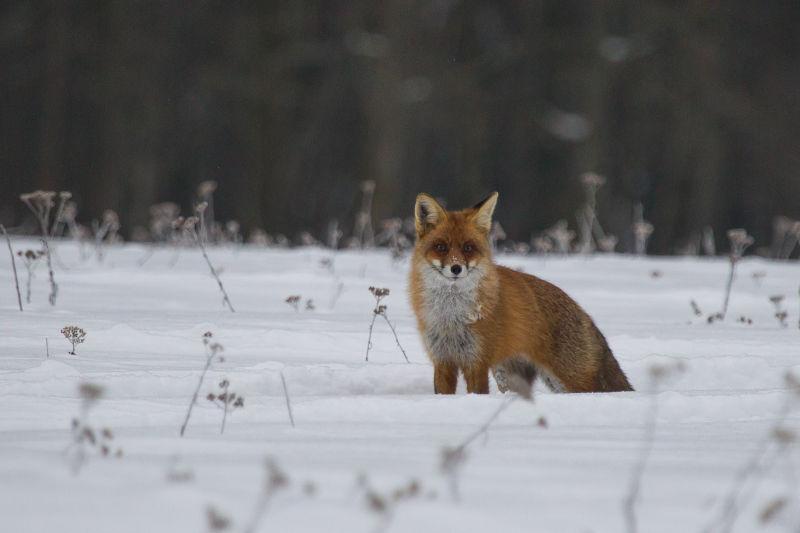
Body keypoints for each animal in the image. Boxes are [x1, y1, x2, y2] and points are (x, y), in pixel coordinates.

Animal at [410, 193, 636, 392]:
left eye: (468, 248)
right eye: (441, 247)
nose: (456, 269)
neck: (451, 316)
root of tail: (583, 312)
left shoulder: (477, 361)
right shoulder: (442, 360)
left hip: (569, 379)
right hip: (513, 375)